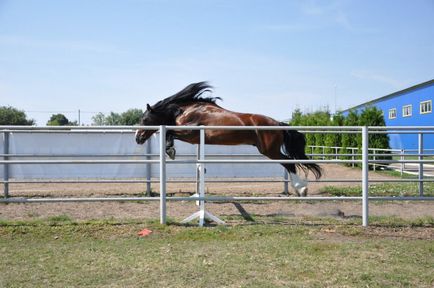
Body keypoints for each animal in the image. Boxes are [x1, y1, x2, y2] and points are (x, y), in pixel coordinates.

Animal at [136, 82, 322, 197]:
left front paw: (170, 150)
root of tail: (278, 124)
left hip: (270, 150)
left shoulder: (191, 133)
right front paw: (170, 149)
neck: (187, 110)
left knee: (289, 163)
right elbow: (169, 133)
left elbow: (170, 132)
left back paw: (302, 189)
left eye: (145, 119)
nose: (138, 137)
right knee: (289, 162)